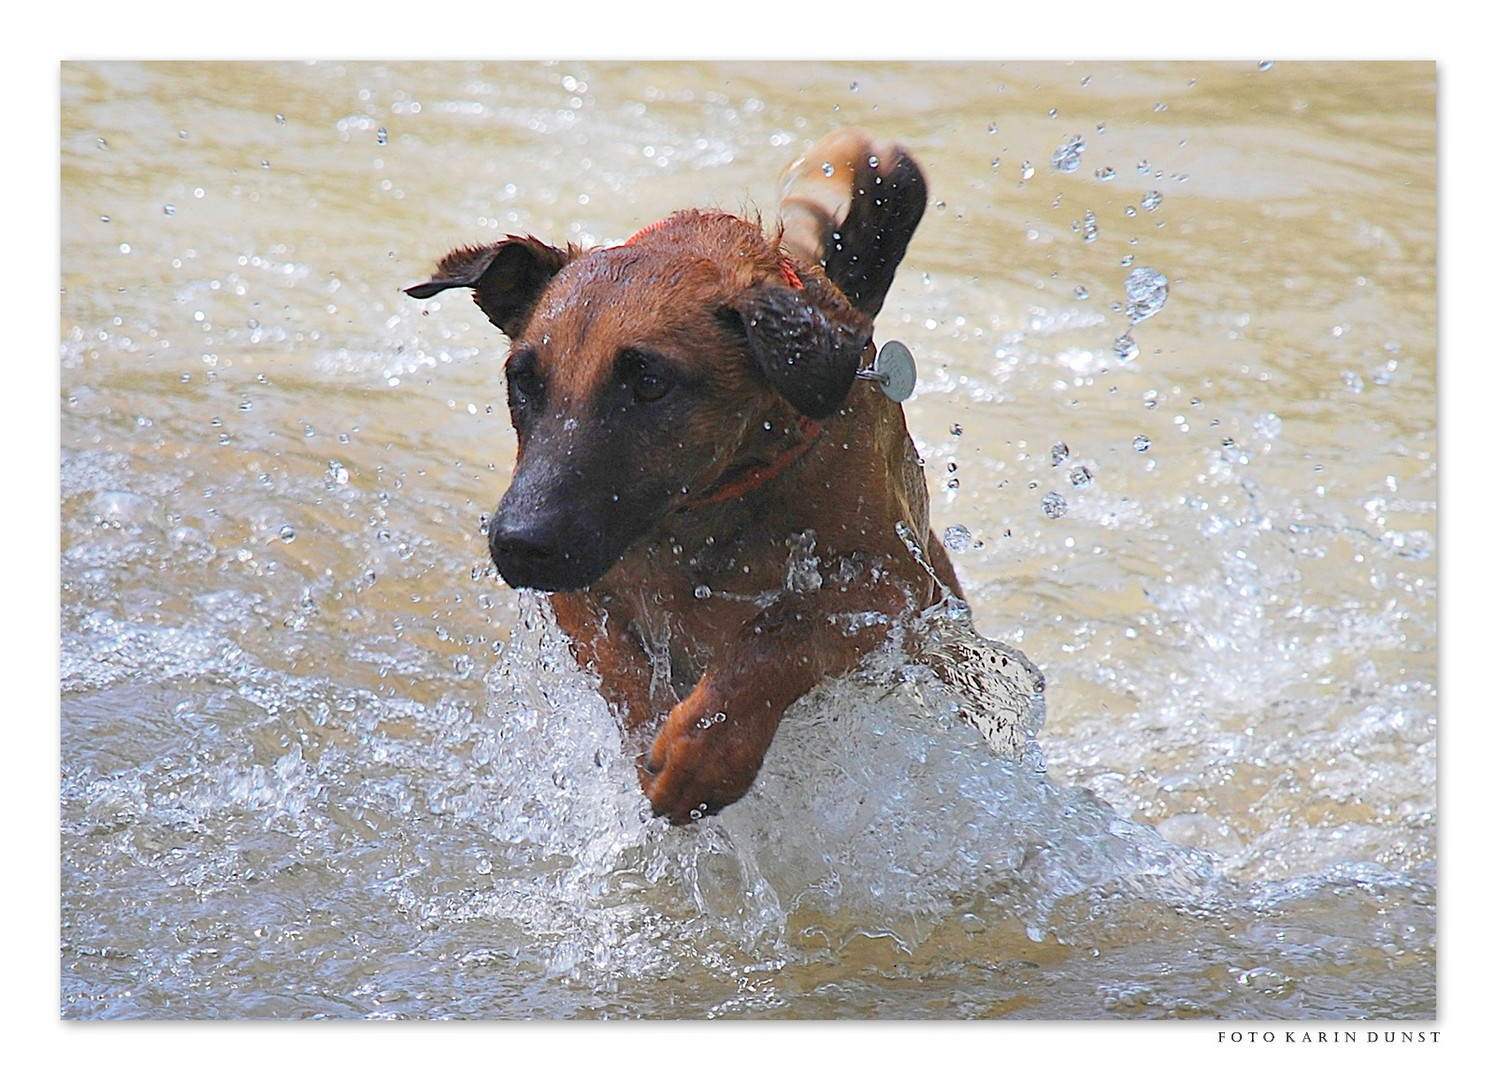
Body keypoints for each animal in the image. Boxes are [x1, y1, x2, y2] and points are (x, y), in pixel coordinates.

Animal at [409, 130, 969, 819]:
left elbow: (783, 627)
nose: (518, 544)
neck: (710, 508)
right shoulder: (581, 586)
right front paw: (651, 726)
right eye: (522, 380)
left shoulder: (892, 582)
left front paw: (706, 749)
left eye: (650, 382)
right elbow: (616, 662)